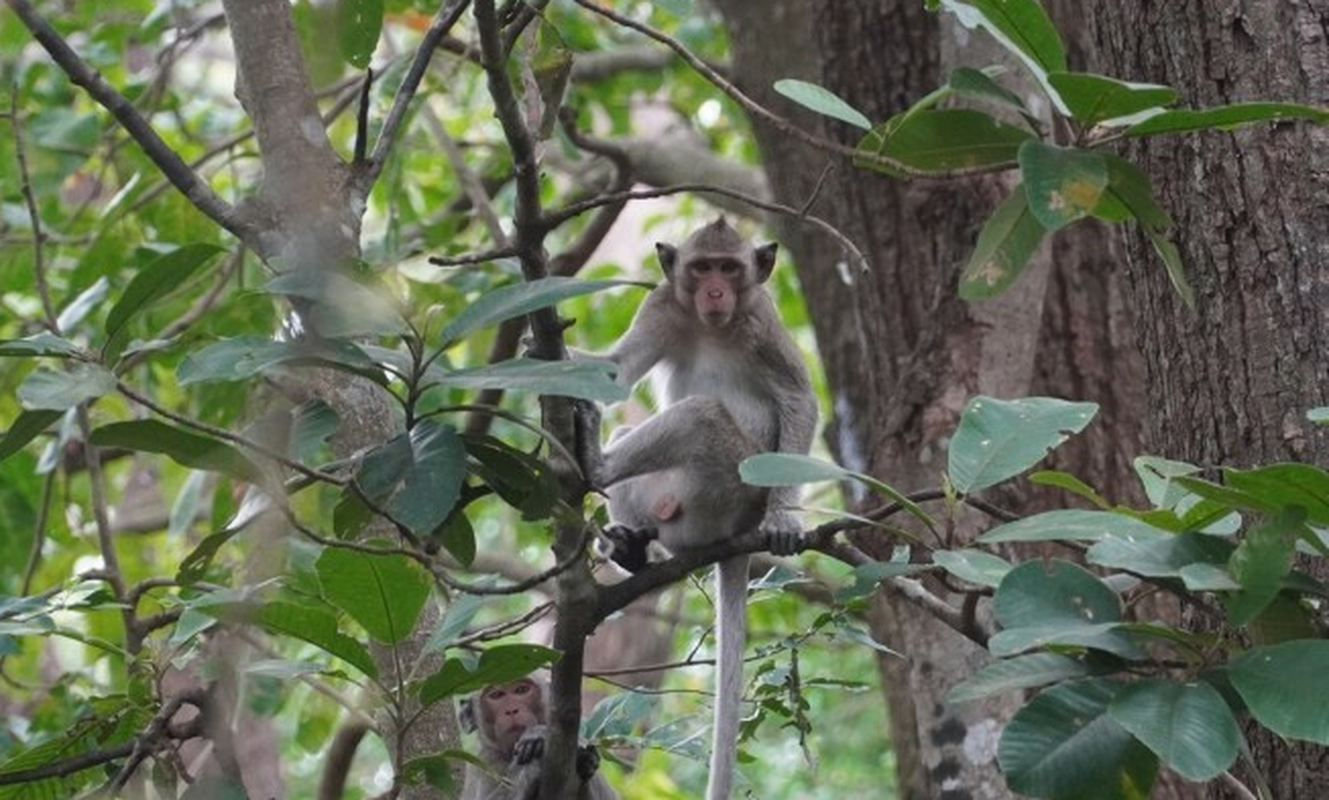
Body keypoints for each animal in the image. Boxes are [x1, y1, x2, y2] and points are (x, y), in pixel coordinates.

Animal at [457, 672, 616, 797]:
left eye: (521, 690)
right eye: (496, 695)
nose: (511, 710)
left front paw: (587, 757)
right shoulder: (486, 763)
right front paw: (538, 740)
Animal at [576, 215, 813, 792]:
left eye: (729, 268)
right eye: (702, 268)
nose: (714, 292)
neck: (712, 326)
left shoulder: (761, 319)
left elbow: (799, 400)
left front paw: (785, 517)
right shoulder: (662, 305)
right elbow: (615, 369)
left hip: (728, 486)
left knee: (701, 416)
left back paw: (595, 464)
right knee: (633, 432)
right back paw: (632, 548)